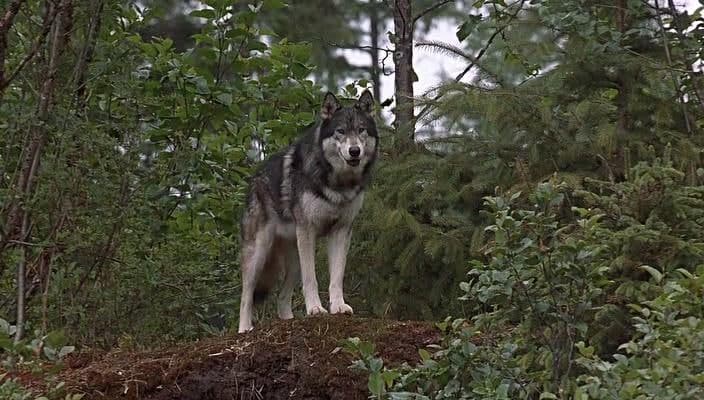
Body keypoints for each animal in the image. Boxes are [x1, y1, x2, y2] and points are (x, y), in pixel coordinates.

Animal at [238, 90, 378, 333]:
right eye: (341, 131)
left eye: (361, 130)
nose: (354, 151)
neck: (338, 184)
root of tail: (255, 178)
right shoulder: (308, 231)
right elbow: (311, 279)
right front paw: (315, 309)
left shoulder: (341, 232)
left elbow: (336, 277)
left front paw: (339, 307)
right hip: (260, 251)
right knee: (246, 294)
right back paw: (245, 329)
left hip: (293, 260)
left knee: (282, 297)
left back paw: (288, 320)